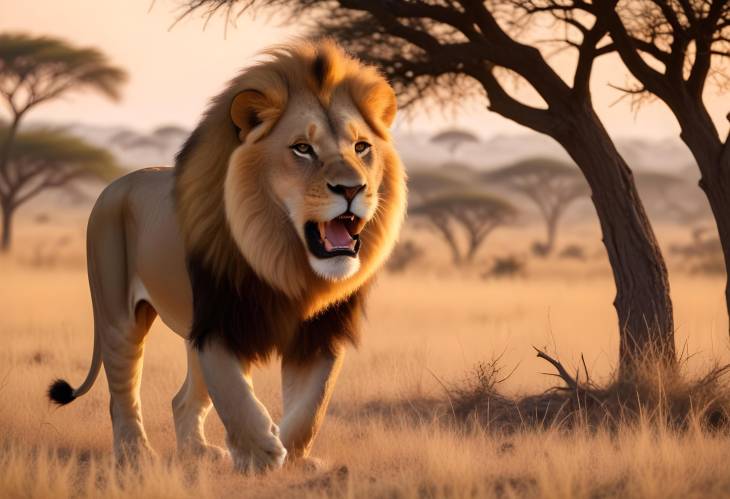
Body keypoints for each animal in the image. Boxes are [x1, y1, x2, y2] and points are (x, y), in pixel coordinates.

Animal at [48, 40, 406, 472]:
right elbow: (234, 392)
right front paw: (260, 453)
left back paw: (197, 451)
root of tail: (112, 186)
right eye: (303, 149)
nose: (352, 188)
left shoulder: (321, 333)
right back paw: (137, 456)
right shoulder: (218, 321)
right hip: (119, 314)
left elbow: (311, 407)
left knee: (181, 400)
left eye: (361, 147)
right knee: (122, 390)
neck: (286, 264)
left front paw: (291, 456)